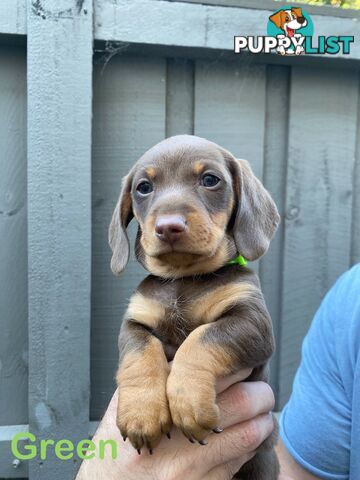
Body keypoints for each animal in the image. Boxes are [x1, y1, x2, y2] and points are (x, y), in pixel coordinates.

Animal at [108, 133, 280, 478]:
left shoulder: (253, 323)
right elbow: (140, 352)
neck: (183, 278)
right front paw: (141, 413)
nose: (168, 226)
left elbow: (201, 339)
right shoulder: (135, 321)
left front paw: (188, 401)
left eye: (210, 180)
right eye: (143, 187)